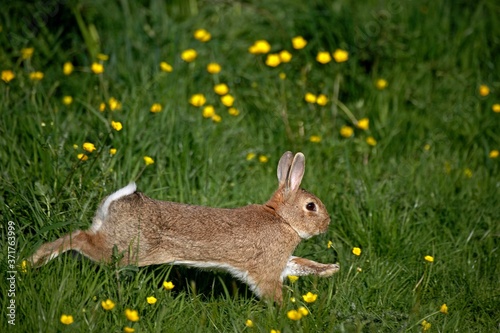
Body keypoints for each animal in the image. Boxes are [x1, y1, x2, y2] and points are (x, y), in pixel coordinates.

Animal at [30, 152, 340, 302]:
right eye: (311, 206)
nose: (327, 223)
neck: (282, 219)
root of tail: (118, 202)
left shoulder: (282, 262)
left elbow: (302, 264)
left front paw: (331, 270)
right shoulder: (266, 269)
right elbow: (271, 289)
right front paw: (287, 312)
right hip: (123, 251)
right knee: (79, 238)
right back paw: (32, 261)